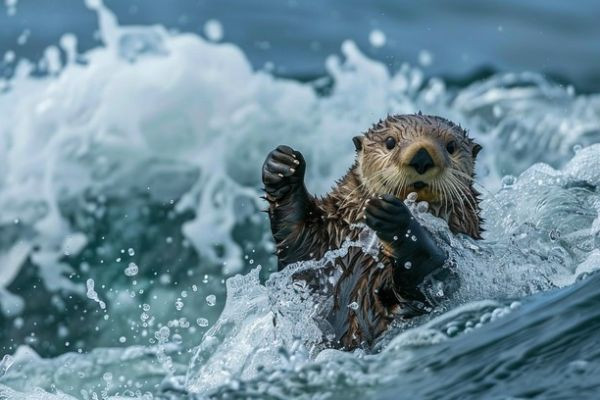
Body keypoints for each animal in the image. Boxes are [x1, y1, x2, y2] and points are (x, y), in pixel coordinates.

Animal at [260, 113, 480, 350]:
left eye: (451, 147)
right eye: (390, 142)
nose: (422, 157)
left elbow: (434, 278)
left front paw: (396, 219)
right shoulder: (327, 240)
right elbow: (298, 243)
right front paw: (282, 166)